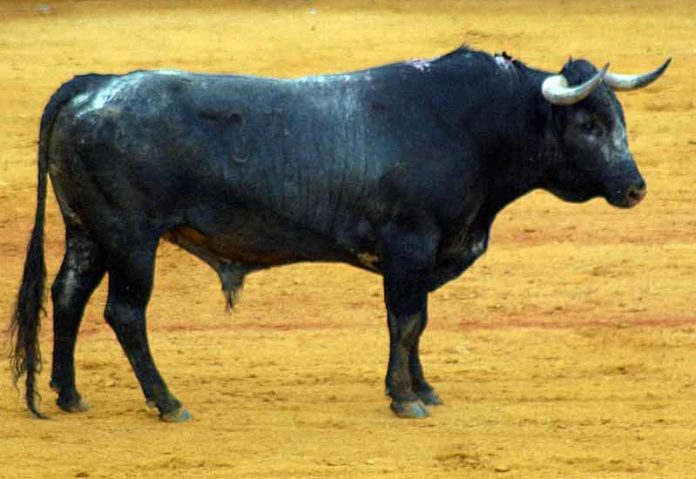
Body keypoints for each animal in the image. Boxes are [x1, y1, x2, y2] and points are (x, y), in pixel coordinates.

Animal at [6, 47, 668, 420]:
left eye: (619, 118)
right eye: (588, 123)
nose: (636, 188)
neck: (467, 124)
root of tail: (94, 85)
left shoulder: (420, 260)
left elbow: (416, 323)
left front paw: (422, 389)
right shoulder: (409, 248)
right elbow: (407, 321)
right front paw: (405, 399)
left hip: (87, 232)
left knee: (68, 297)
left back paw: (68, 395)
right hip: (131, 240)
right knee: (123, 313)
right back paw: (167, 403)